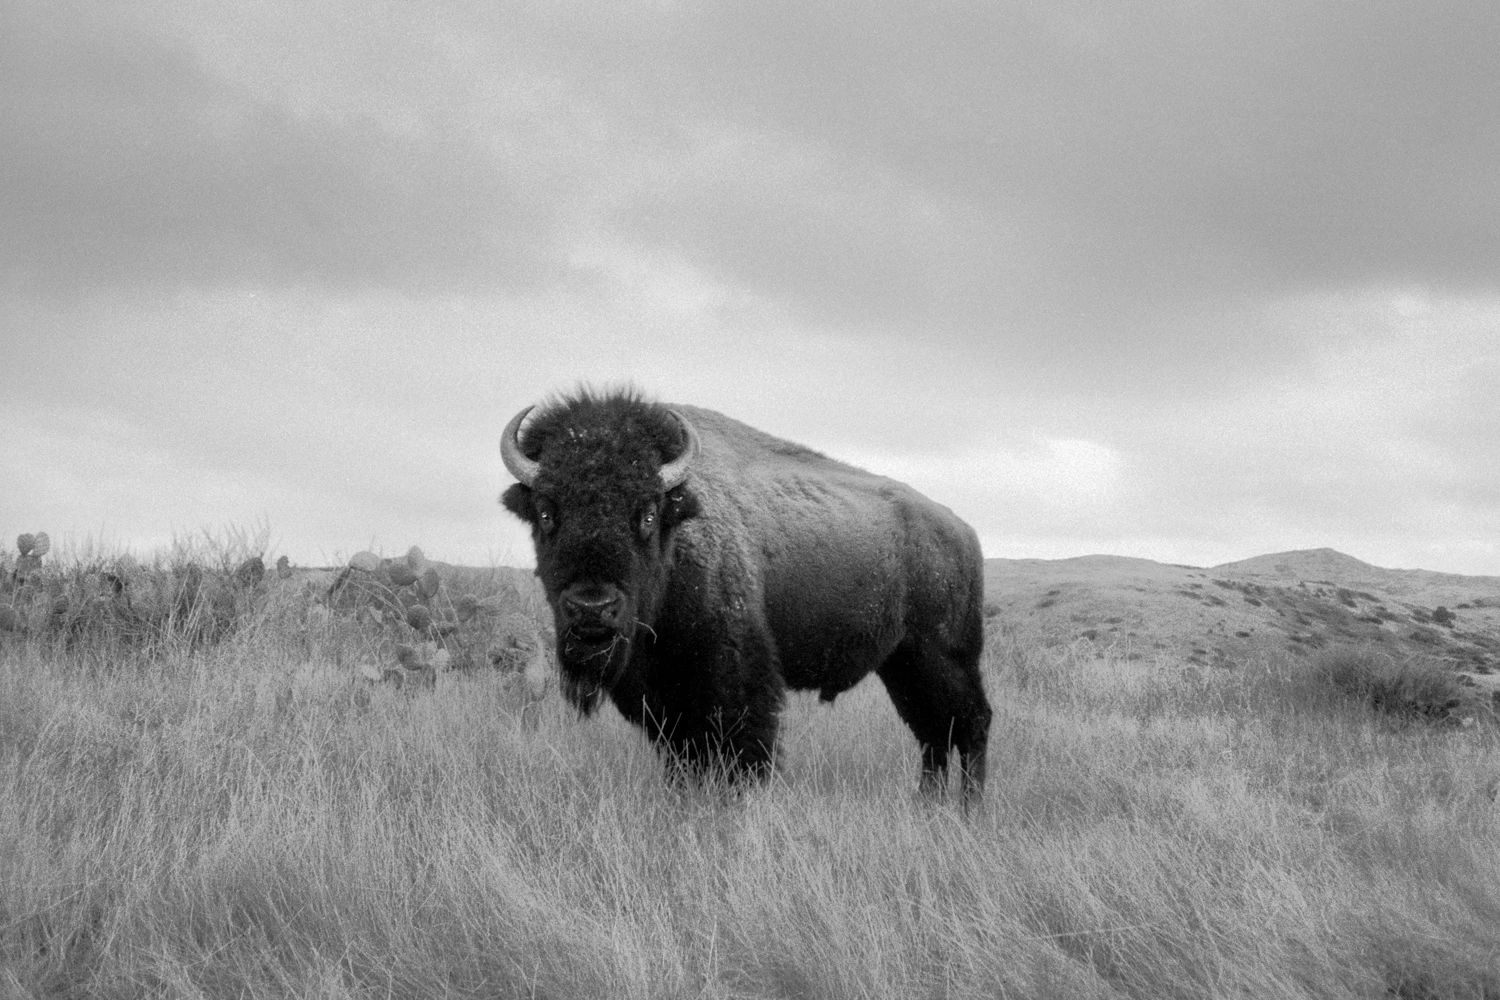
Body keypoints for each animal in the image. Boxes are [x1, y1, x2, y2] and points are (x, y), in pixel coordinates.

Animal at [500, 389, 991, 802]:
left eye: (647, 513)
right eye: (545, 513)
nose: (592, 608)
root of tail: (962, 532)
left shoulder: (736, 683)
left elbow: (742, 757)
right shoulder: (663, 700)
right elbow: (684, 760)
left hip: (944, 657)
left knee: (969, 723)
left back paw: (969, 810)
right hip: (902, 664)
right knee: (933, 733)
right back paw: (927, 806)